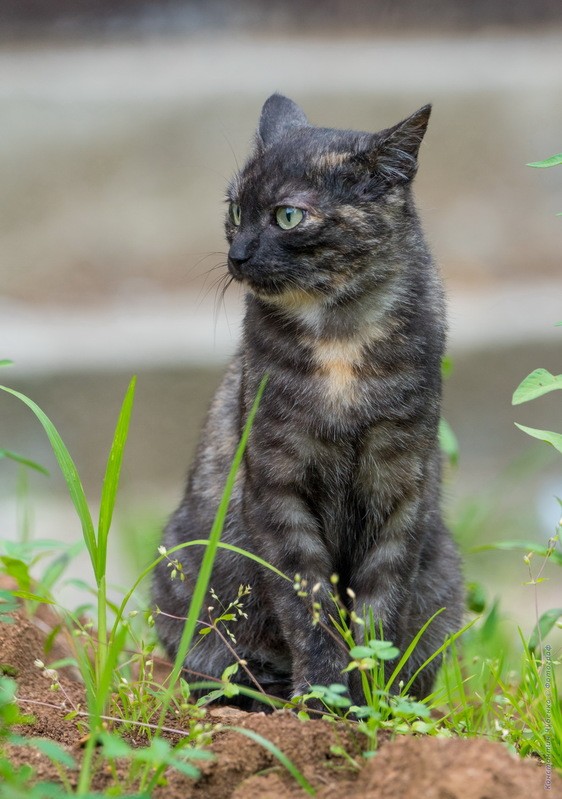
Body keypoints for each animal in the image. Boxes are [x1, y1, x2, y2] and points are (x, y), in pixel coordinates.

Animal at [151, 92, 462, 708]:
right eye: (235, 211)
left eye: (288, 216)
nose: (238, 254)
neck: (339, 337)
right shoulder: (278, 487)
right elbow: (307, 603)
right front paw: (321, 696)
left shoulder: (401, 486)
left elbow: (380, 604)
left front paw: (369, 700)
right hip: (180, 572)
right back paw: (262, 689)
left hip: (444, 576)